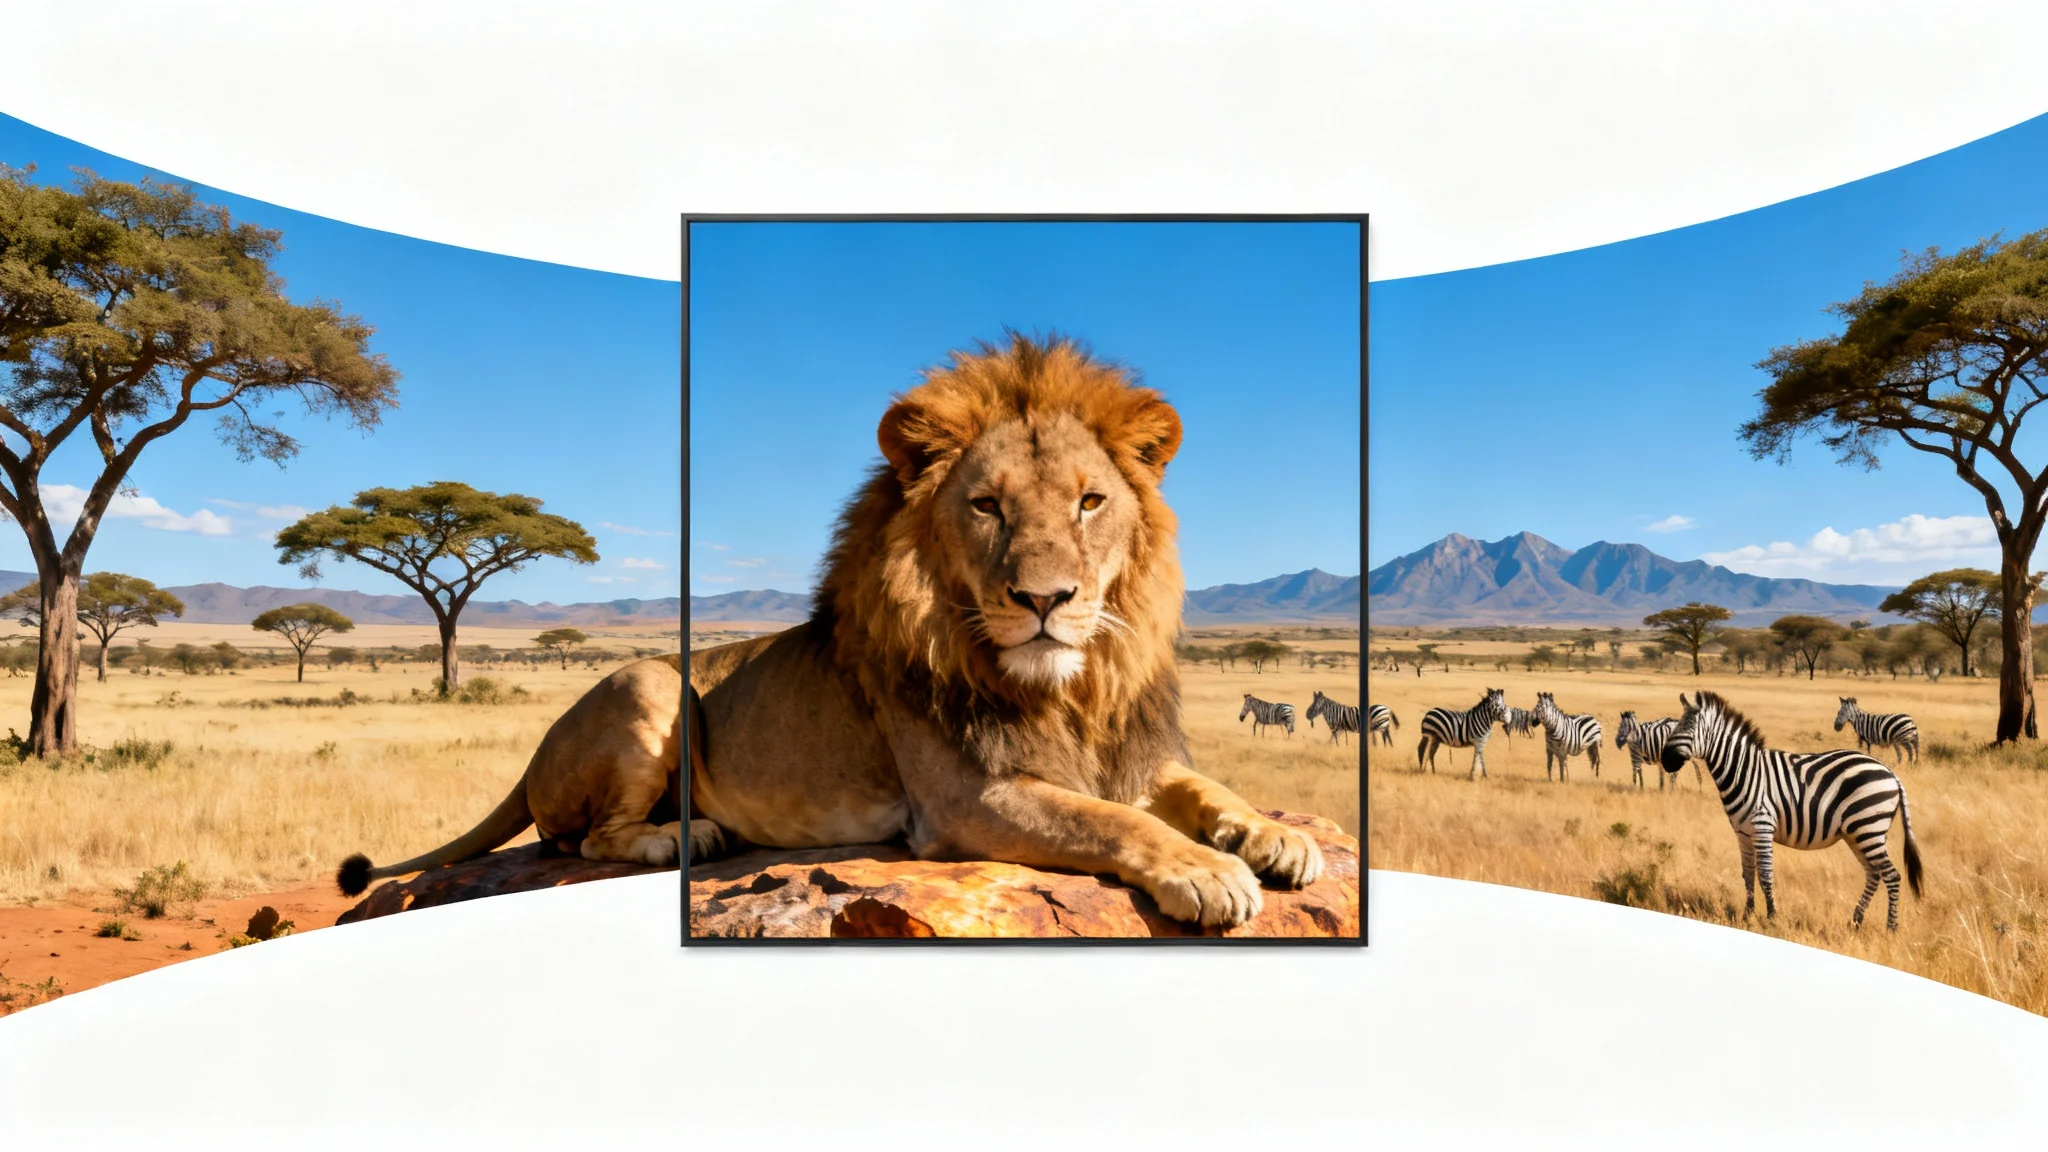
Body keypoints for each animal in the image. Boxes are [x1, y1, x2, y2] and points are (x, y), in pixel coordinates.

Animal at [688, 333, 1324, 929]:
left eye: (1090, 501)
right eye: (987, 506)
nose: (1044, 598)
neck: (1066, 694)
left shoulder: (1120, 753)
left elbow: (1201, 784)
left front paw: (1276, 835)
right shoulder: (963, 800)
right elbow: (1107, 817)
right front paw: (1206, 869)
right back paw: (688, 836)